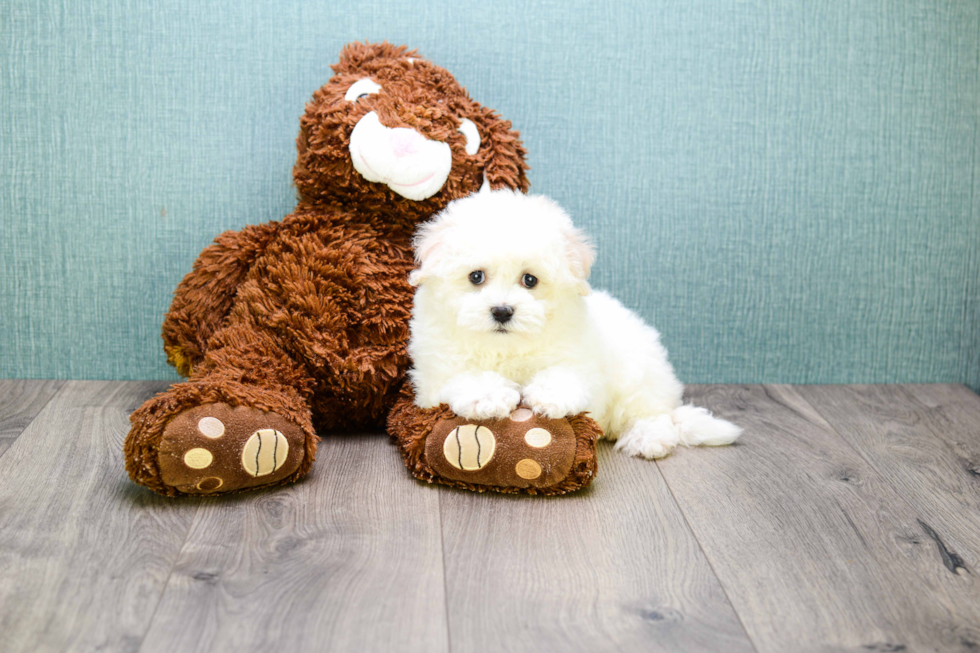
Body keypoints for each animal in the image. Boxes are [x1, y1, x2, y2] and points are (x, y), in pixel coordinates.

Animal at [408, 188, 744, 456]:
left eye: (530, 280)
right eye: (476, 276)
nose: (502, 311)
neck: (505, 347)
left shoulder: (581, 358)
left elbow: (567, 373)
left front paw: (550, 395)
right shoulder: (433, 375)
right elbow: (464, 376)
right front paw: (489, 396)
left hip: (639, 377)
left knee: (651, 413)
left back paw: (646, 437)